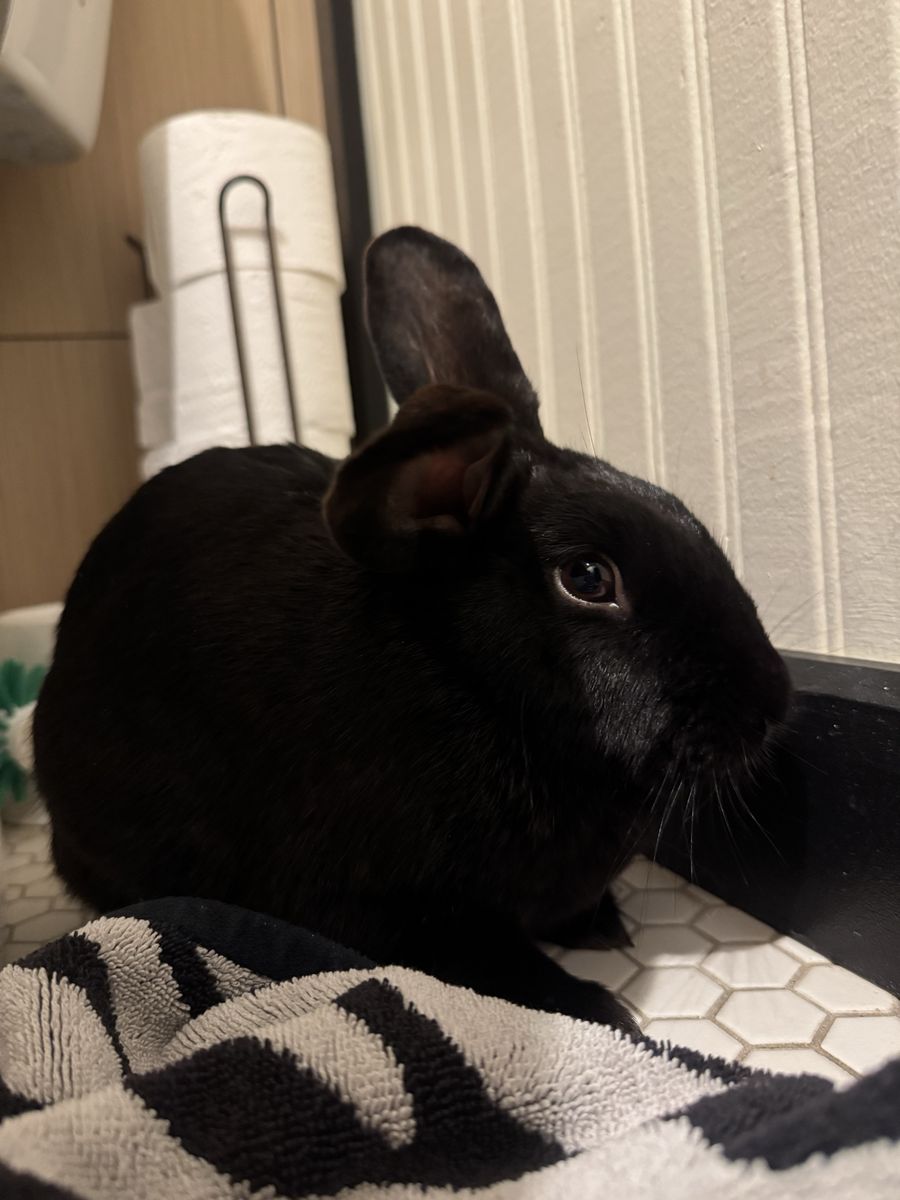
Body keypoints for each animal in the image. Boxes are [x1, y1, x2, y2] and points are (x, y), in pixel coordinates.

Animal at [33, 226, 789, 1032]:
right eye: (588, 578)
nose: (773, 701)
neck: (472, 682)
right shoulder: (398, 908)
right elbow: (490, 959)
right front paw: (596, 1005)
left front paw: (601, 925)